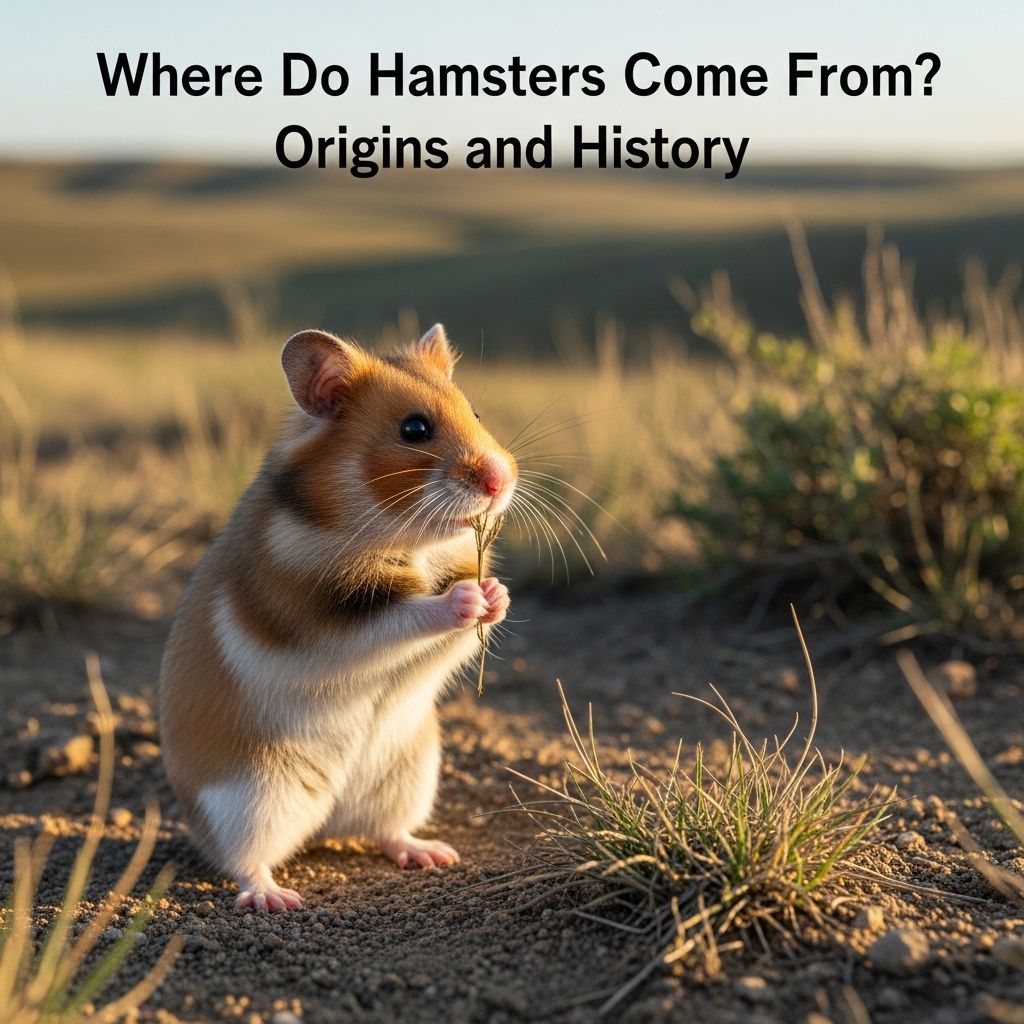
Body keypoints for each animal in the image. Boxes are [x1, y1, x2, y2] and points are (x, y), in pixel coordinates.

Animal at [159, 324, 516, 911]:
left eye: (477, 412)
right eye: (414, 429)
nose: (500, 481)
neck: (403, 538)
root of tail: (326, 824)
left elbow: (464, 629)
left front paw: (495, 593)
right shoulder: (322, 618)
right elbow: (402, 618)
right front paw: (466, 600)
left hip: (409, 775)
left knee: (385, 831)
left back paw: (432, 854)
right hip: (249, 798)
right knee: (243, 860)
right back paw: (275, 899)